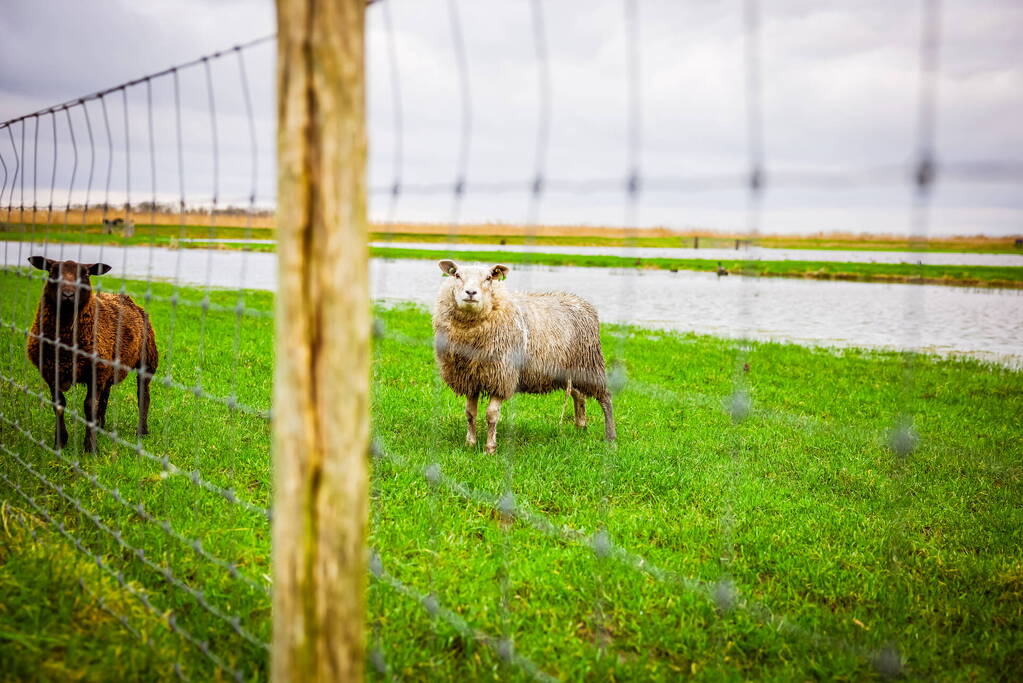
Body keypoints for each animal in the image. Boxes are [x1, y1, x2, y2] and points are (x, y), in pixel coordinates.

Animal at [25, 257, 158, 453]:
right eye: (52, 272)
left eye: (86, 274)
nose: (68, 295)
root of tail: (127, 298)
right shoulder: (50, 372)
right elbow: (59, 405)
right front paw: (60, 442)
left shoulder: (95, 372)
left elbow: (89, 407)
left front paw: (90, 448)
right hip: (108, 367)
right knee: (105, 397)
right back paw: (101, 426)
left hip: (146, 360)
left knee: (143, 395)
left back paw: (142, 431)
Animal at [431, 259, 613, 453]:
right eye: (457, 275)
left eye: (488, 278)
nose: (471, 293)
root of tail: (581, 301)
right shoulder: (470, 379)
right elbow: (470, 413)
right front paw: (470, 443)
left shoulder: (502, 377)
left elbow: (491, 415)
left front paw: (490, 448)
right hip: (571, 369)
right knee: (579, 395)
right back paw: (581, 427)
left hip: (590, 362)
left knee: (605, 398)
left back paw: (610, 437)